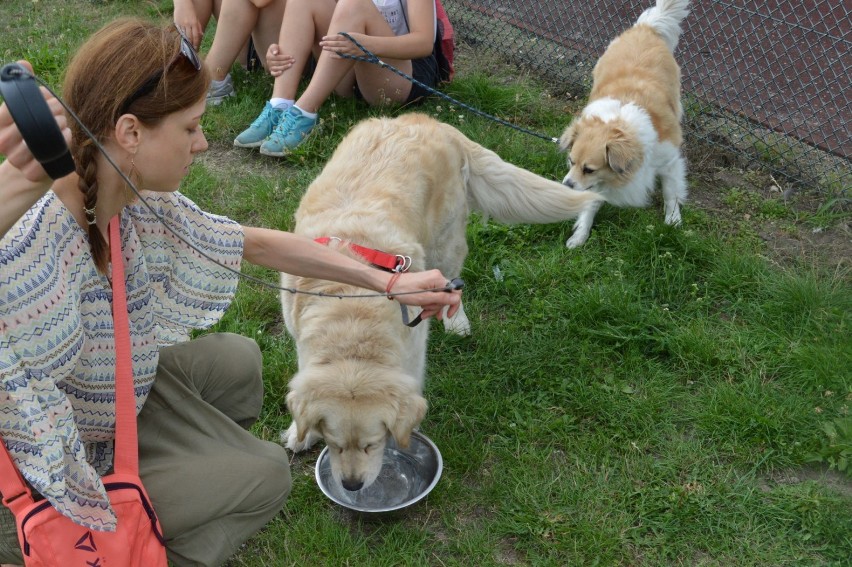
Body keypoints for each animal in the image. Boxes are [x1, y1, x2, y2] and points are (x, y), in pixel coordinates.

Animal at [280, 112, 600, 492]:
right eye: (334, 443)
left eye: (373, 443)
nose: (353, 485)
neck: (352, 318)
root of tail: (427, 120)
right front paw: (300, 433)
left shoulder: (414, 341)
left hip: (444, 243)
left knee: (451, 282)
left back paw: (457, 321)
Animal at [560, 0, 692, 248]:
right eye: (571, 161)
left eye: (589, 169)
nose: (566, 187)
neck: (621, 127)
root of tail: (646, 27)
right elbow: (590, 203)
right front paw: (580, 234)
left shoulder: (669, 161)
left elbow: (671, 193)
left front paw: (673, 221)